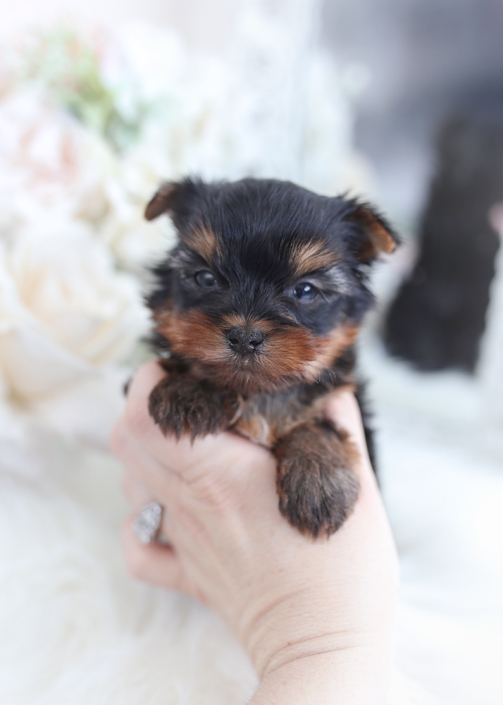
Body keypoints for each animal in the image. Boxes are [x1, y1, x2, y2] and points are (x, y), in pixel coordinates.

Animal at [144, 179, 400, 536]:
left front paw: (318, 478)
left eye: (305, 291)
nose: (245, 337)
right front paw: (189, 391)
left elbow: (317, 425)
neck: (259, 393)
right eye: (205, 278)